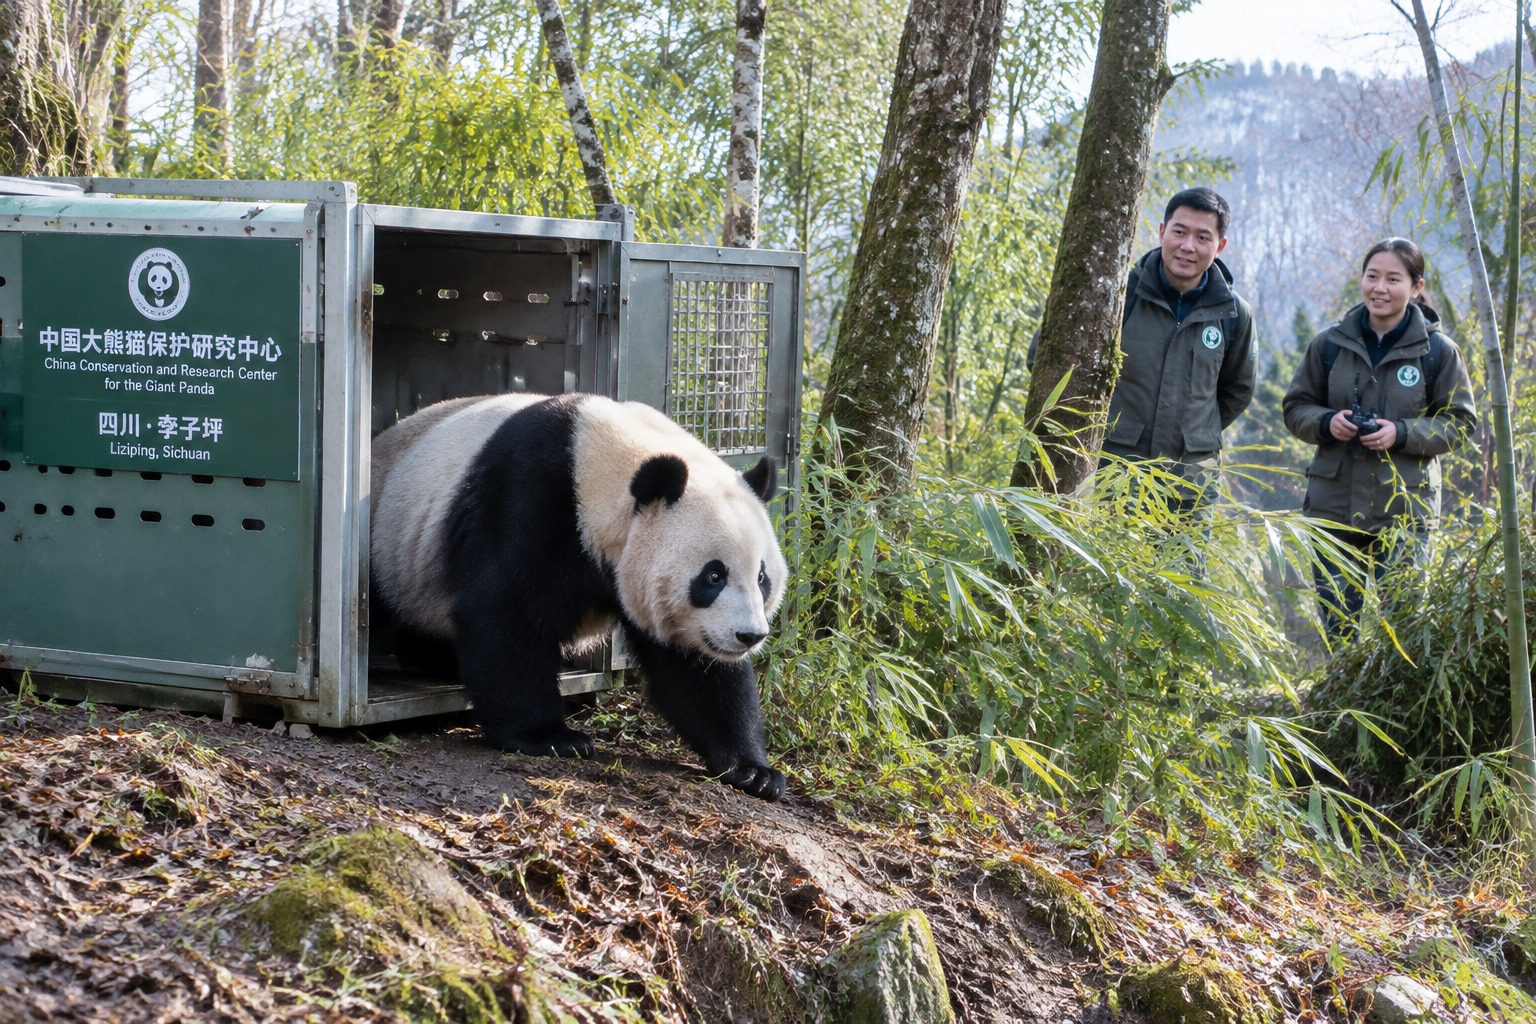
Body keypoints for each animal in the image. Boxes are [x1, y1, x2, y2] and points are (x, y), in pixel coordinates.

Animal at [370, 392, 789, 801]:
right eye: (713, 575)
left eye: (762, 577)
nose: (749, 636)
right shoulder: (530, 497)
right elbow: (506, 613)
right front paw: (550, 738)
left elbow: (697, 675)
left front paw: (752, 771)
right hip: (389, 537)